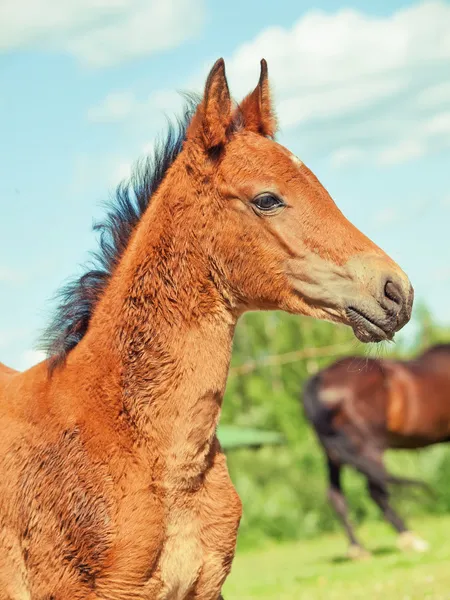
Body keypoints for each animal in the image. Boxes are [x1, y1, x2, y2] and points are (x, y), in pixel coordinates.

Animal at [302, 344, 450, 560]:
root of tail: (320, 379)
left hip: (333, 455)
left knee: (336, 496)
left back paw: (358, 549)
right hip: (369, 448)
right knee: (377, 492)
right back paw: (410, 538)